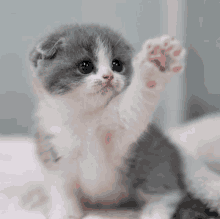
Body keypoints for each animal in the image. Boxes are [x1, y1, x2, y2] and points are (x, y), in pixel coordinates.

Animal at [25, 24, 186, 219]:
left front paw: (158, 61)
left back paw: (154, 212)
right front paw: (65, 211)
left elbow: (134, 109)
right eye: (85, 66)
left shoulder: (120, 138)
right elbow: (60, 186)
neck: (87, 116)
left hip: (156, 160)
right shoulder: (53, 145)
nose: (108, 76)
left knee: (167, 191)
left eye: (117, 65)